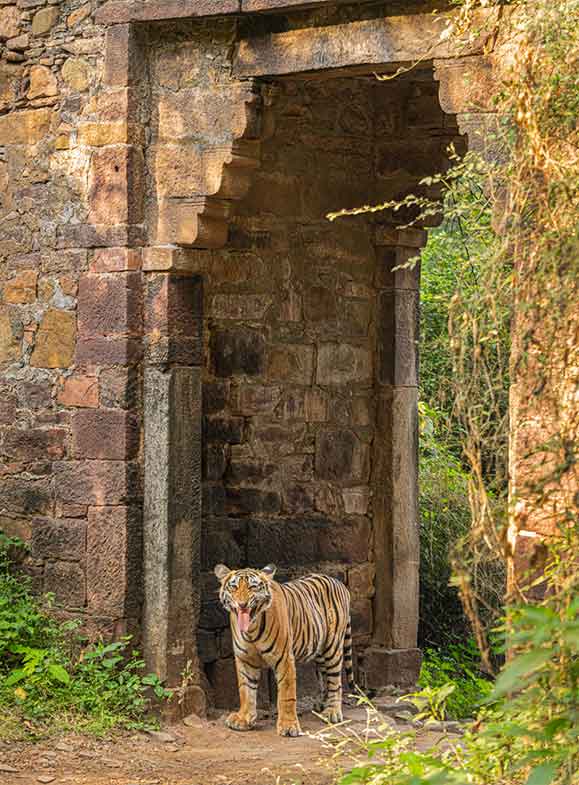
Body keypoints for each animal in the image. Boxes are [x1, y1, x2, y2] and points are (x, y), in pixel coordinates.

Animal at [215, 564, 356, 736]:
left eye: (252, 587)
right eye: (233, 587)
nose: (242, 604)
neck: (251, 630)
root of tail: (340, 582)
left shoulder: (284, 658)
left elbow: (286, 694)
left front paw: (289, 726)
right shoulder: (245, 659)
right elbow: (246, 690)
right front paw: (243, 718)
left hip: (333, 647)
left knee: (336, 681)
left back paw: (332, 712)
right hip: (320, 649)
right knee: (324, 675)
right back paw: (321, 705)